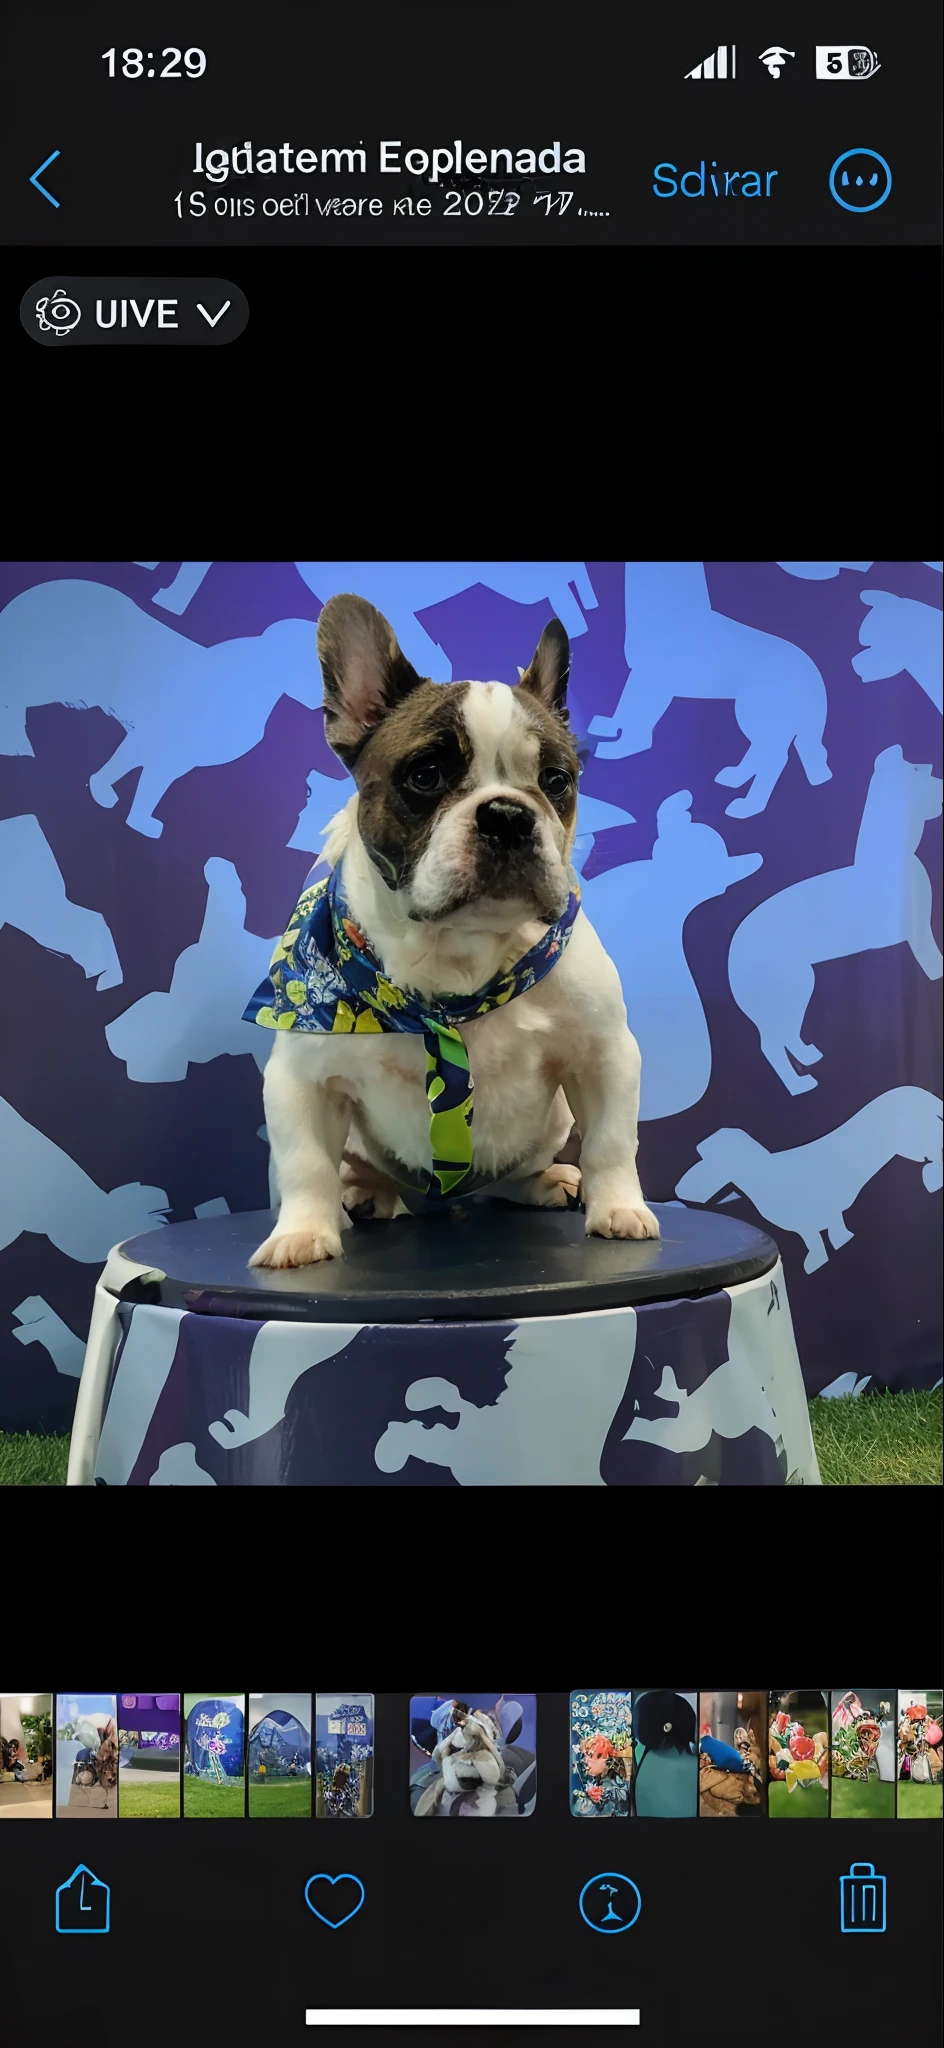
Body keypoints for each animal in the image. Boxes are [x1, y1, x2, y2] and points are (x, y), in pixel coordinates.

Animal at [253, 585, 659, 1269]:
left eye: (557, 780)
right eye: (426, 775)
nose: (508, 816)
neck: (458, 959)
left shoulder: (604, 1054)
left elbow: (612, 1141)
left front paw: (620, 1210)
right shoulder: (301, 1078)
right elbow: (304, 1162)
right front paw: (301, 1234)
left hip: (552, 1122)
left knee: (522, 1172)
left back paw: (549, 1182)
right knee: (352, 1170)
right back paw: (365, 1194)